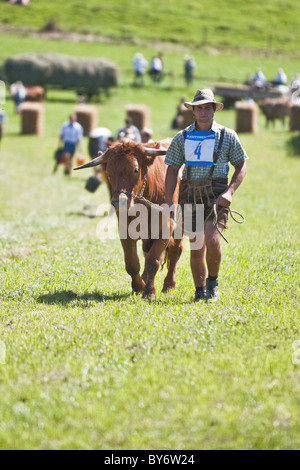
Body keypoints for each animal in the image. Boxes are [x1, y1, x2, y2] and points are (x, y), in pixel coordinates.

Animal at [74, 140, 183, 298]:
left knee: (175, 250)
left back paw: (169, 285)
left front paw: (149, 291)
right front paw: (139, 286)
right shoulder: (125, 230)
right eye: (108, 173)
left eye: (136, 170)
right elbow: (132, 263)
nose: (119, 202)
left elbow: (153, 260)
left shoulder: (166, 228)